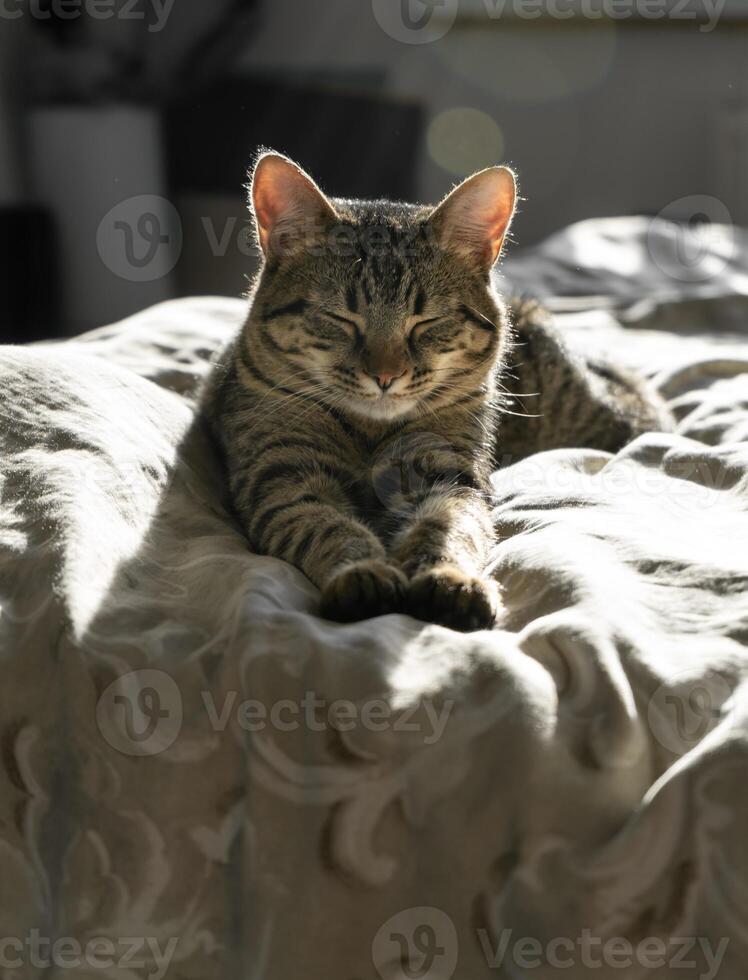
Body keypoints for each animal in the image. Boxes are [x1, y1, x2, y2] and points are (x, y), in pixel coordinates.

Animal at [202, 149, 668, 632]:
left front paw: (449, 579)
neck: (371, 434)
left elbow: (449, 528)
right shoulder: (282, 473)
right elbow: (326, 526)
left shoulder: (449, 474)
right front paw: (361, 573)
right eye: (341, 319)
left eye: (426, 322)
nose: (385, 375)